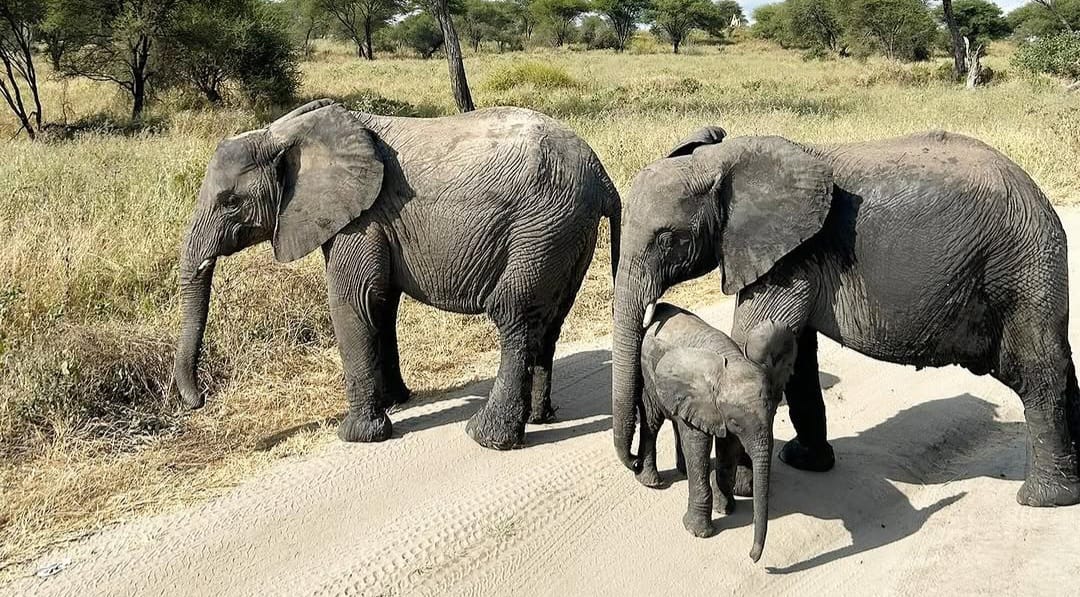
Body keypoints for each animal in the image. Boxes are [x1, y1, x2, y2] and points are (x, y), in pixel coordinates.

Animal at [172, 99, 621, 450]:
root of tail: (602, 177)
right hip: (567, 236)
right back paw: (541, 418)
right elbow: (381, 304)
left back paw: (486, 437)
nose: (199, 401)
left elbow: (352, 301)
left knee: (515, 316)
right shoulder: (373, 220)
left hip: (543, 227)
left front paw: (357, 435)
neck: (287, 132)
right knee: (548, 322)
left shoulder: (362, 217)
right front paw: (395, 402)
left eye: (230, 202)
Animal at [611, 127, 1080, 508]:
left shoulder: (791, 256)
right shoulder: (792, 258)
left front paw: (742, 491)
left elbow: (754, 340)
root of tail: (1040, 197)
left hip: (1021, 268)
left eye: (668, 240)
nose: (635, 466)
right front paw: (804, 463)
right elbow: (794, 353)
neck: (725, 159)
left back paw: (1043, 499)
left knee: (1038, 373)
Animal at [639, 302, 796, 562]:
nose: (752, 556)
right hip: (647, 374)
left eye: (774, 413)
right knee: (653, 420)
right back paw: (651, 482)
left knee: (675, 422)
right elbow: (697, 446)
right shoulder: (705, 404)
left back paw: (682, 472)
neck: (731, 360)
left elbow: (729, 449)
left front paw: (725, 509)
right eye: (736, 422)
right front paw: (697, 531)